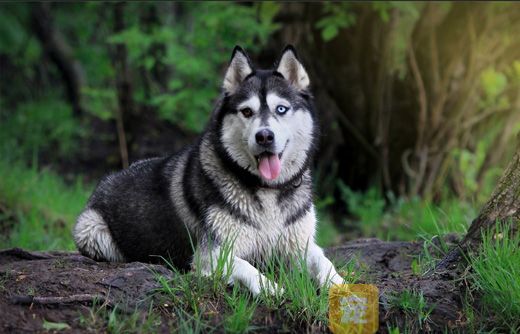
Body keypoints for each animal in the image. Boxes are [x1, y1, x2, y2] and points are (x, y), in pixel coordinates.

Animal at [72, 45, 342, 294]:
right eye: (247, 111)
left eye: (281, 109)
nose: (264, 136)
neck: (268, 190)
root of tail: (108, 178)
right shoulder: (211, 254)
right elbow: (248, 268)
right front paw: (273, 289)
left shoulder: (301, 245)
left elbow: (325, 263)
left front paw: (340, 286)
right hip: (92, 230)